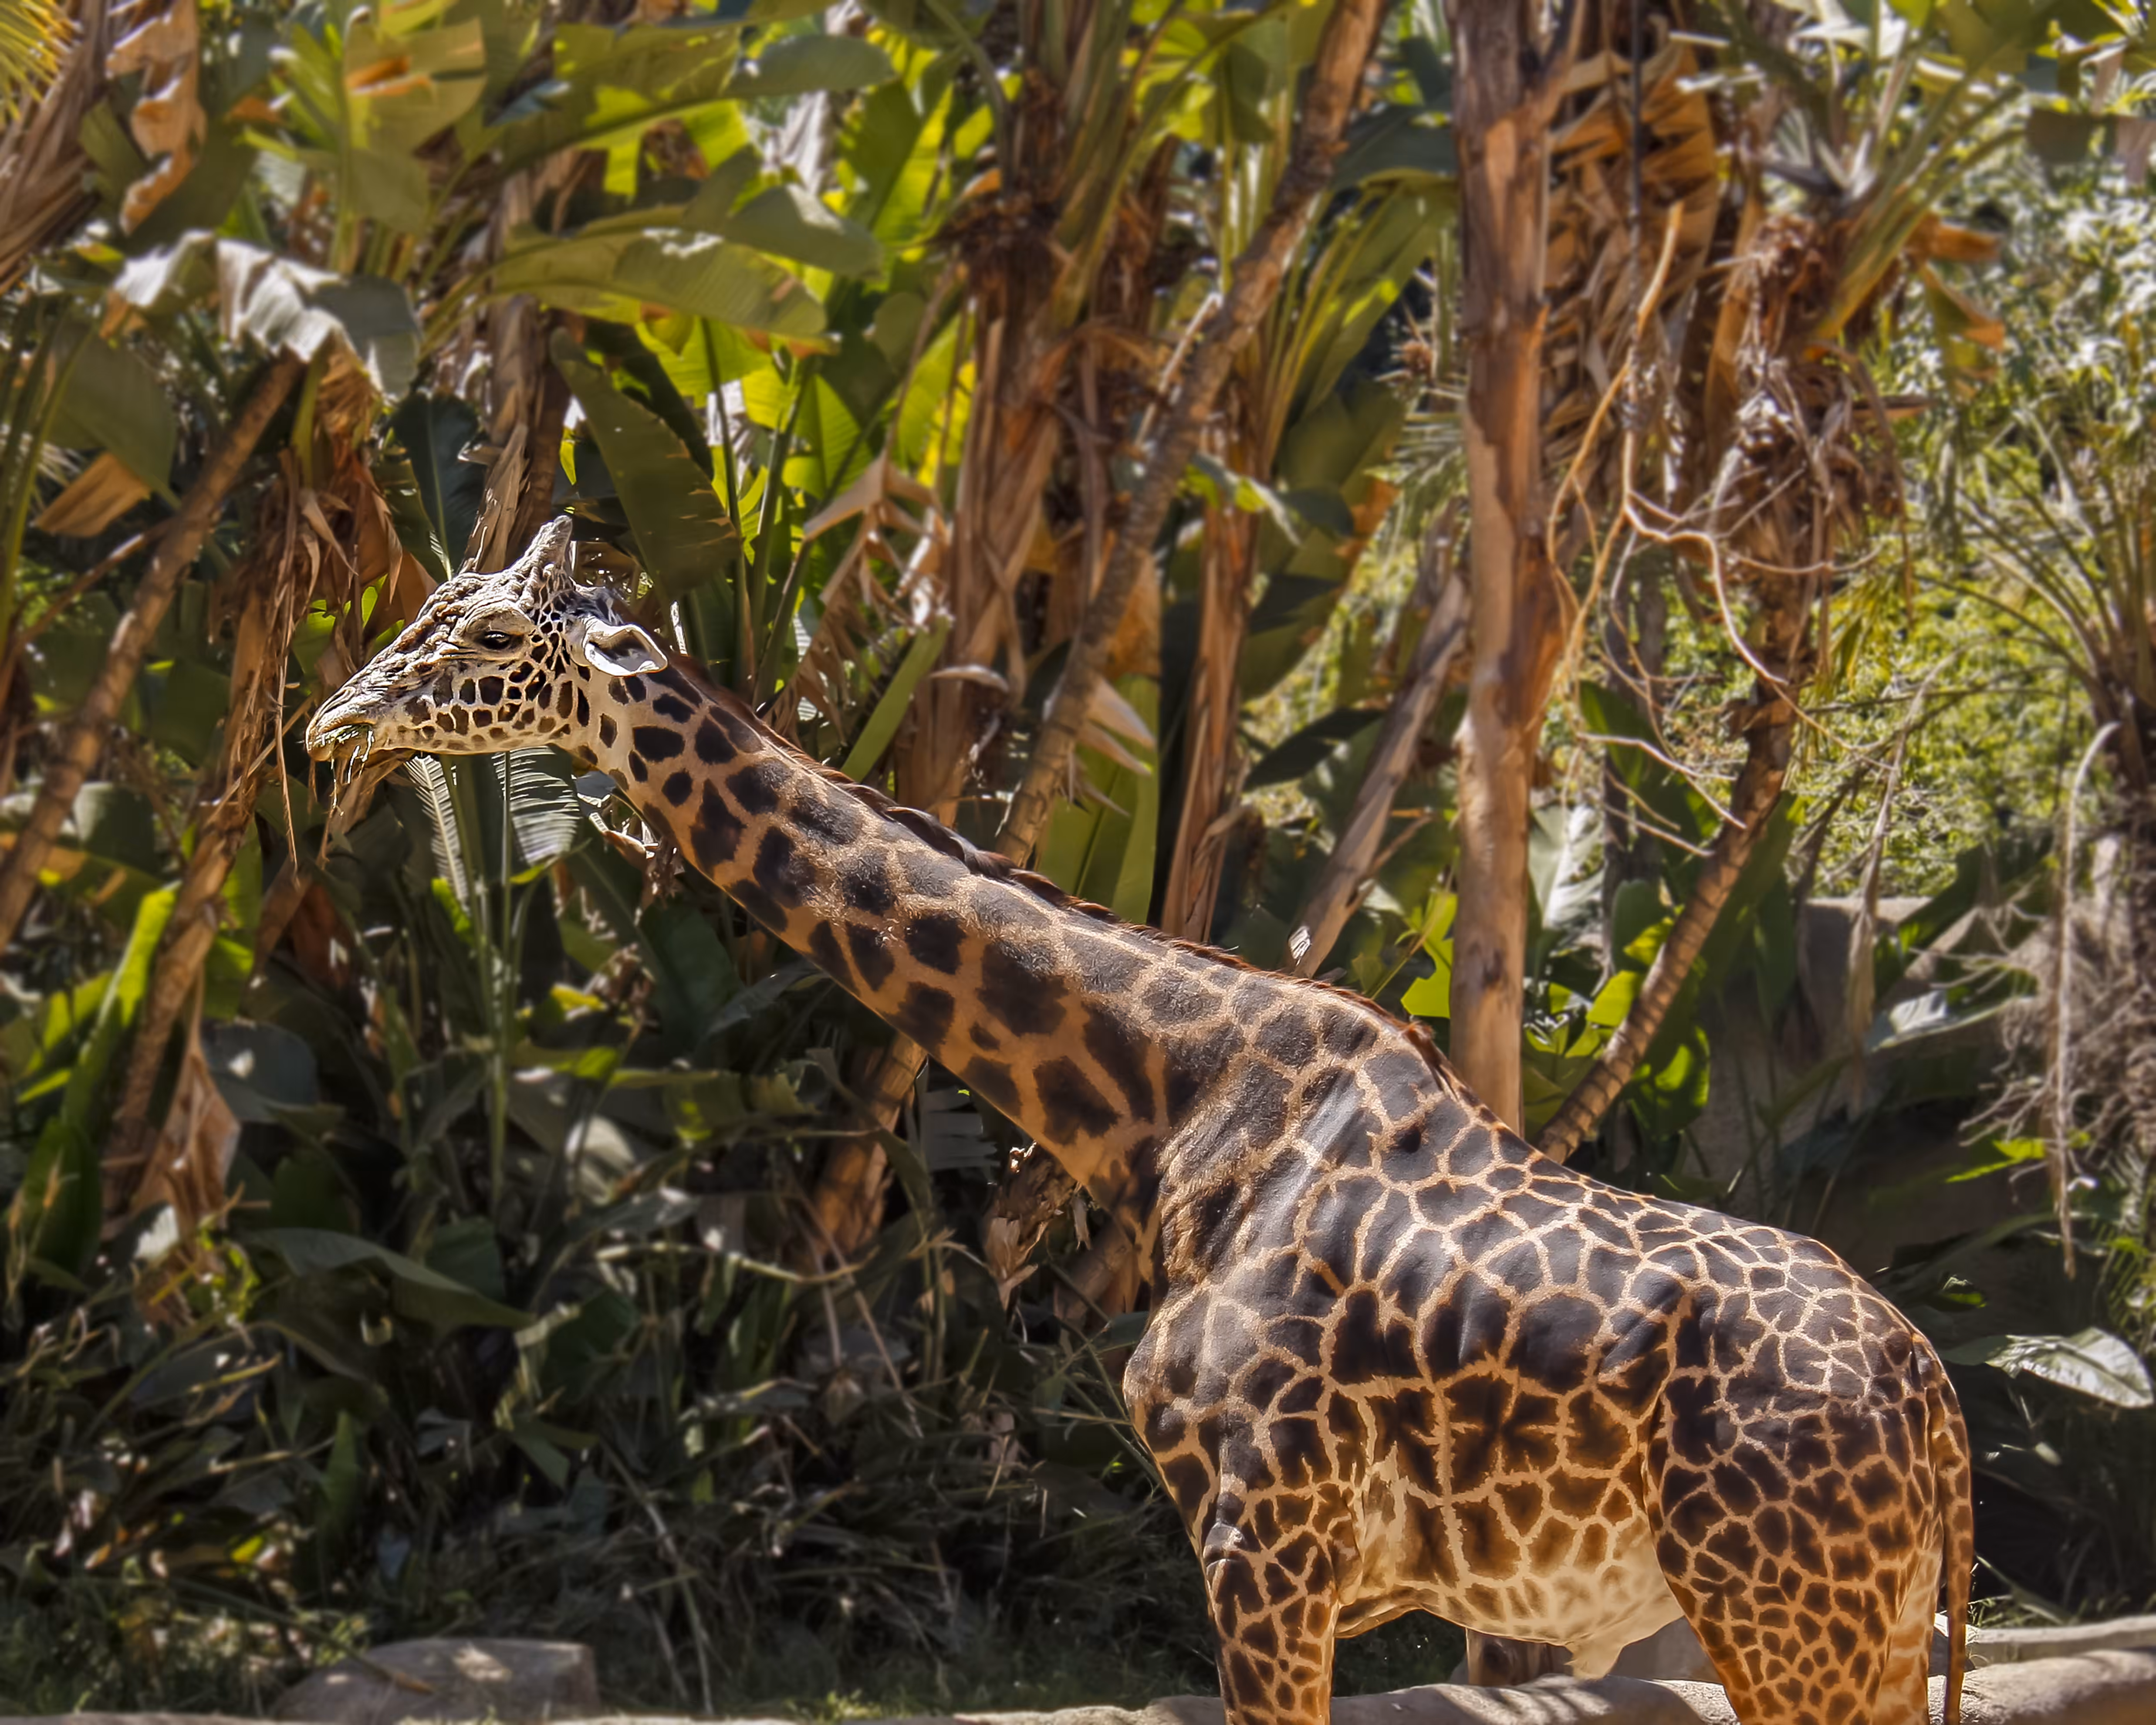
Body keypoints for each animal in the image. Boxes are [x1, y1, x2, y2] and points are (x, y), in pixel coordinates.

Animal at [307, 519, 1974, 1725]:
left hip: (1784, 1617)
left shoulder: (1264, 1549)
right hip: (1872, 1631)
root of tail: (1934, 1406)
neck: (1173, 1102)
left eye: (492, 638)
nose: (330, 727)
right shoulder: (1293, 1574)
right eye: (427, 606)